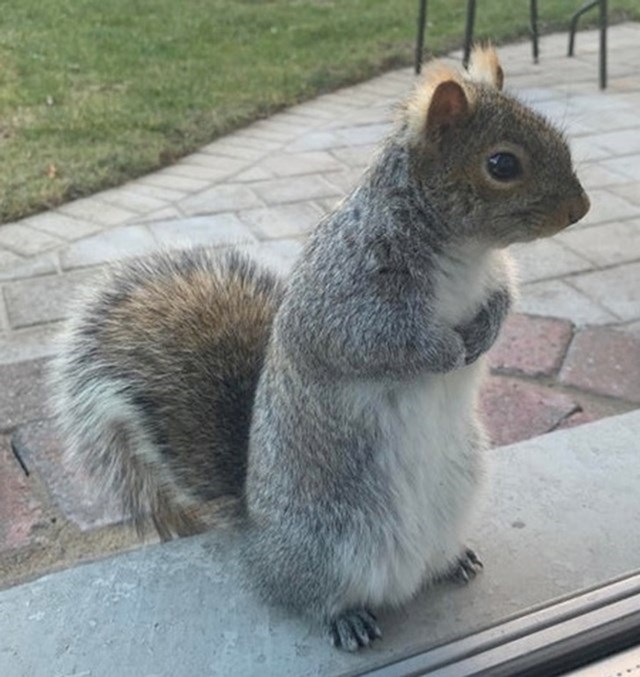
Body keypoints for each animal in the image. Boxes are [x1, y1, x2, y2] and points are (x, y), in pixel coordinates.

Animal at [51, 46, 592, 648]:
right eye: (502, 165)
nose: (581, 208)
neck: (465, 251)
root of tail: (258, 542)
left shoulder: (494, 276)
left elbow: (503, 299)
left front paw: (482, 333)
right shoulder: (342, 298)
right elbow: (372, 342)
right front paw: (445, 351)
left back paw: (451, 561)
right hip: (328, 542)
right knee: (310, 597)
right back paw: (346, 617)